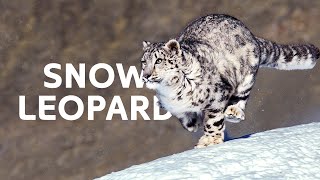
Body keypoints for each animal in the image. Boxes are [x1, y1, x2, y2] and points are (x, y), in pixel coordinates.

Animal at [141, 14, 320, 148]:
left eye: (158, 61)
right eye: (143, 61)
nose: (146, 75)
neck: (171, 90)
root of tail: (250, 34)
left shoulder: (217, 96)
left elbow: (213, 121)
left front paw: (209, 140)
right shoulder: (172, 105)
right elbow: (183, 115)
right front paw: (192, 123)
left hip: (246, 78)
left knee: (240, 98)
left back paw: (233, 112)